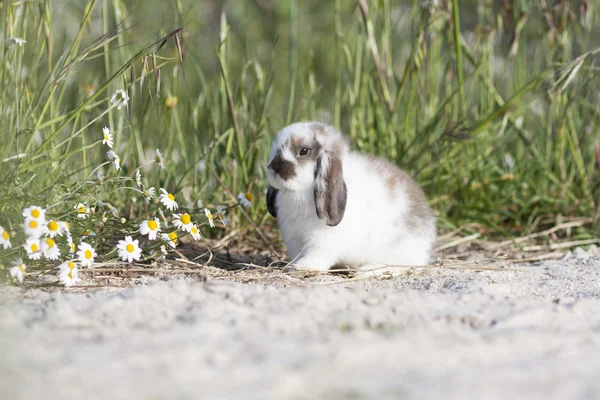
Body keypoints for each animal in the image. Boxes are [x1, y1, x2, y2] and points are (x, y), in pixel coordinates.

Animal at [266, 122, 436, 276]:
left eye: (303, 151)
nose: (272, 168)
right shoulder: (295, 239)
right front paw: (292, 266)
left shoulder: (322, 240)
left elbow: (317, 255)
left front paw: (303, 268)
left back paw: (367, 271)